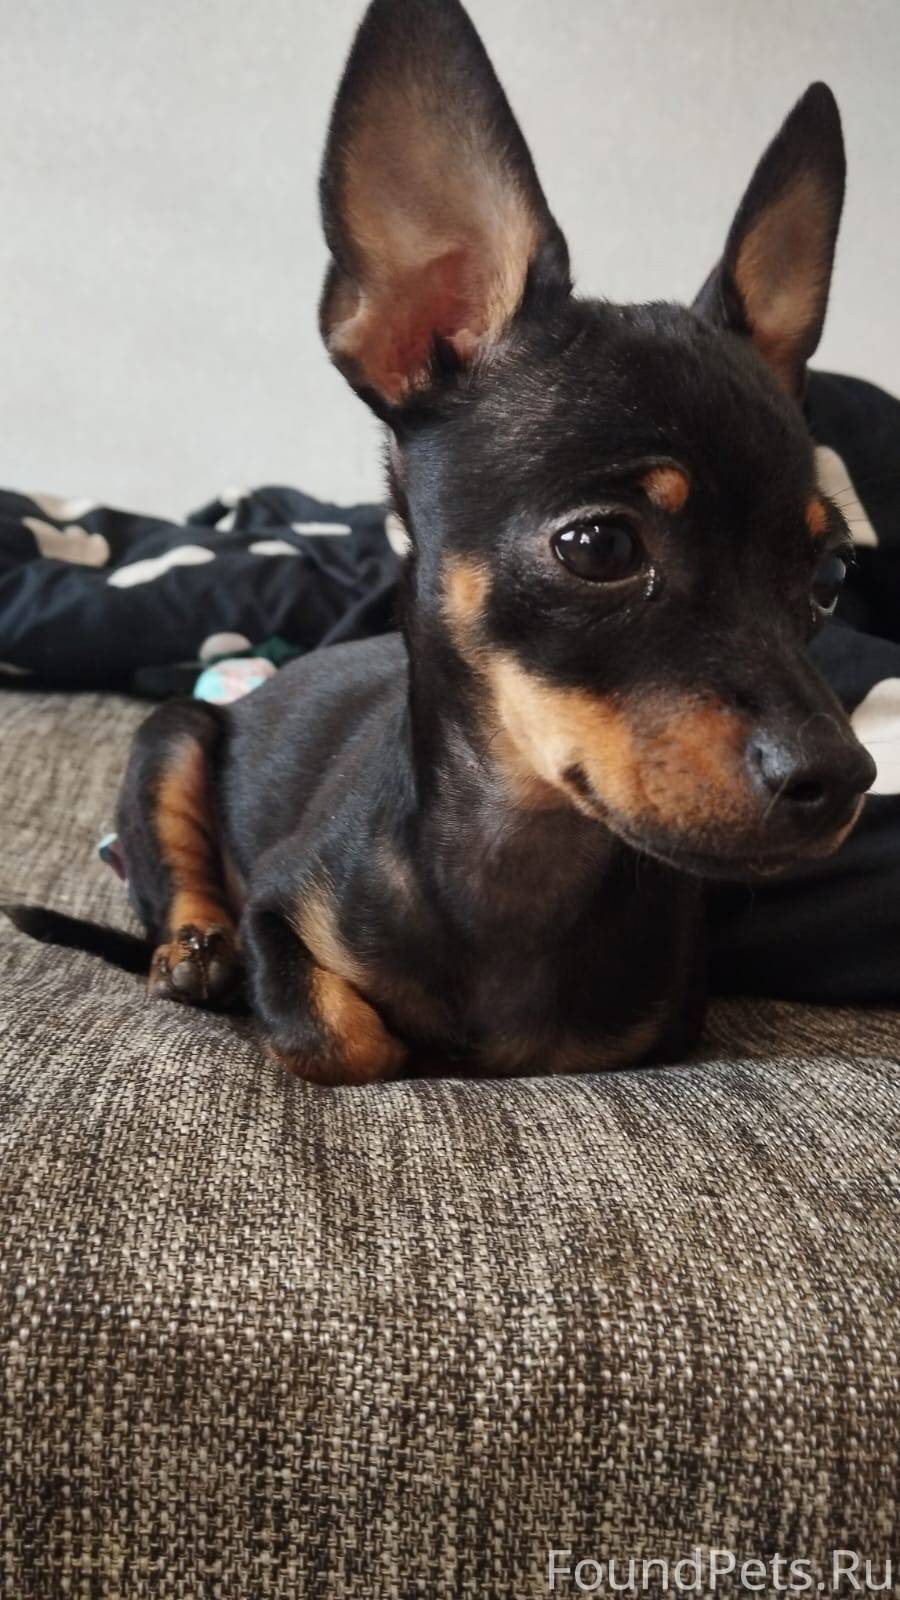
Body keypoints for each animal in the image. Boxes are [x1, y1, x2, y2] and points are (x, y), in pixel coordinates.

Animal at [9, 0, 876, 1083]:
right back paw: (193, 951)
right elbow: (342, 1038)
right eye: (599, 547)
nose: (846, 777)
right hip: (169, 735)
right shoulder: (279, 913)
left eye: (832, 575)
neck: (521, 858)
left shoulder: (658, 1030)